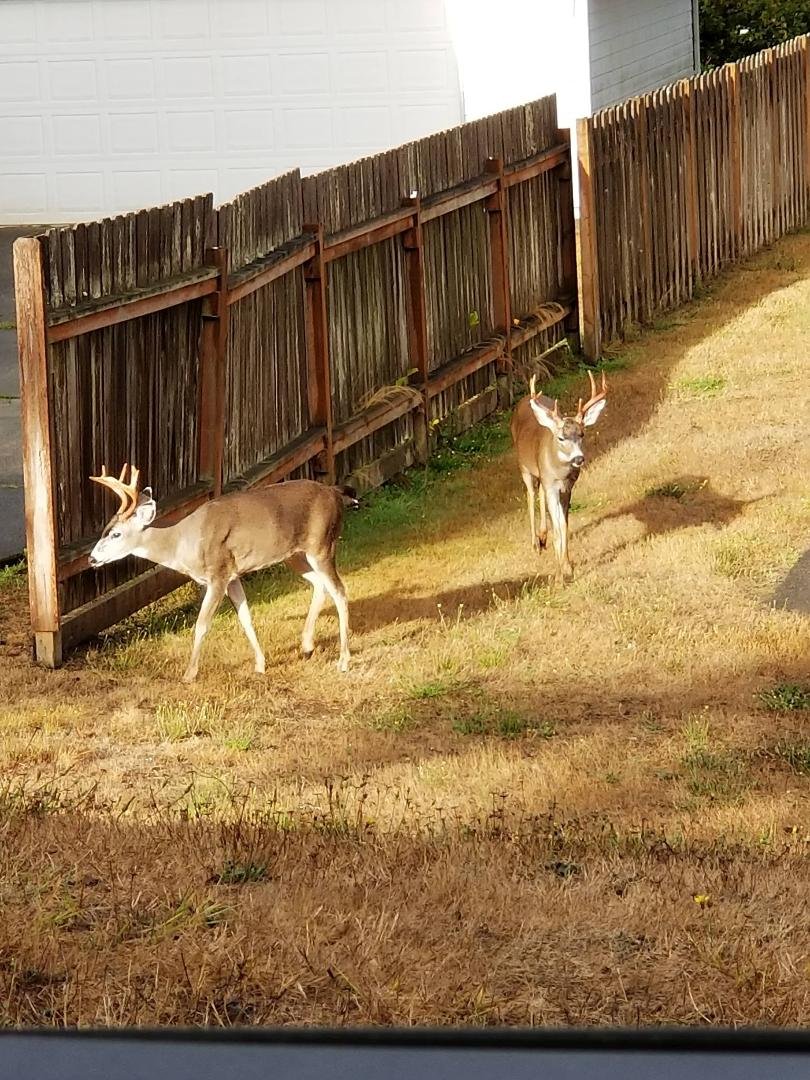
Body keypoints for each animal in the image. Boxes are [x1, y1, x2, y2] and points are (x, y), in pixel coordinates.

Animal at [88, 464, 356, 683]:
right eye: (105, 529)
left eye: (116, 534)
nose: (92, 559)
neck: (182, 541)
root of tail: (334, 492)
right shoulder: (233, 575)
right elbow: (245, 618)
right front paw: (260, 665)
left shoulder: (218, 572)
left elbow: (202, 623)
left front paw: (189, 674)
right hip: (295, 555)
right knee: (320, 585)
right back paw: (307, 646)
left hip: (322, 545)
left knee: (340, 591)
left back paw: (343, 660)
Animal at [510, 370, 607, 584]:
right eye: (561, 437)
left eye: (582, 434)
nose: (579, 458)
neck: (560, 473)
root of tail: (524, 400)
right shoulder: (552, 486)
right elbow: (557, 528)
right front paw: (558, 576)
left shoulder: (566, 487)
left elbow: (563, 525)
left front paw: (568, 567)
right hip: (523, 466)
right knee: (530, 495)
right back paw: (535, 543)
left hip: (542, 477)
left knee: (539, 493)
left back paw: (542, 536)